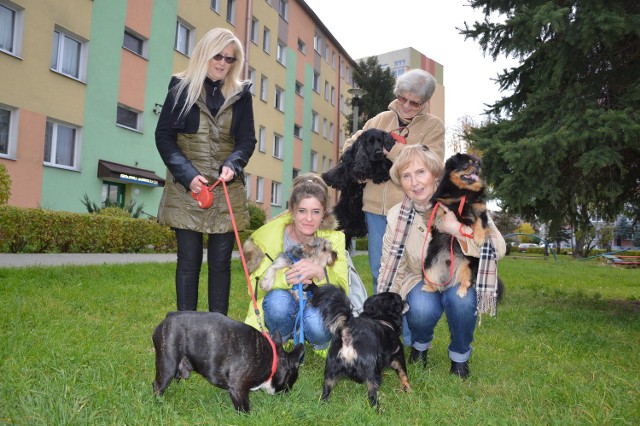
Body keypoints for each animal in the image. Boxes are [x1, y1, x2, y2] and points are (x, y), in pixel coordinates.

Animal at [154, 312, 306, 412]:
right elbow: (244, 409)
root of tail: (167, 318)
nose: (288, 392)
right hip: (168, 364)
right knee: (157, 385)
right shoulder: (238, 389)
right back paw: (159, 403)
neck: (272, 360)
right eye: (293, 380)